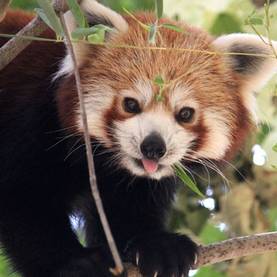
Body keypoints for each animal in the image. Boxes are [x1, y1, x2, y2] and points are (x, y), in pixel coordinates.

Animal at [0, 0, 274, 276]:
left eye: (185, 114)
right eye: (130, 104)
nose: (153, 147)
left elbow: (128, 211)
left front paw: (158, 246)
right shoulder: (30, 121)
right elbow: (23, 199)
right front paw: (75, 262)